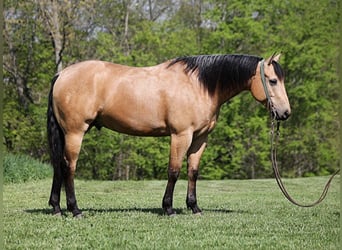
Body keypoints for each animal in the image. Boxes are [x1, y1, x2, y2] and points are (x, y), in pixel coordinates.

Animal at [46, 53, 290, 217]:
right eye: (273, 80)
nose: (285, 113)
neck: (198, 86)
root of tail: (61, 74)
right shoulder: (181, 135)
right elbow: (174, 171)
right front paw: (169, 208)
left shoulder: (200, 138)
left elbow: (193, 172)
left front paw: (194, 207)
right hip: (75, 132)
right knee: (69, 167)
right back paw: (75, 209)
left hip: (66, 133)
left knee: (58, 165)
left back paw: (57, 207)